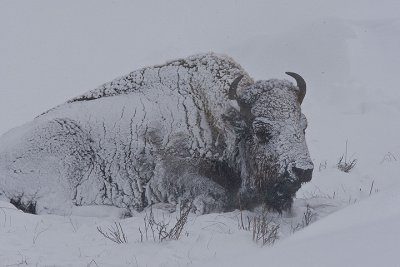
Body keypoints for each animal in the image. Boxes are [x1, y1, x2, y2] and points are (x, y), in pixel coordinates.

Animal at [0, 53, 312, 215]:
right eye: (261, 131)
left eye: (304, 125)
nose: (303, 170)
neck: (213, 117)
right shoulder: (175, 175)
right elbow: (217, 197)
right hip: (67, 148)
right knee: (52, 206)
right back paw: (122, 211)